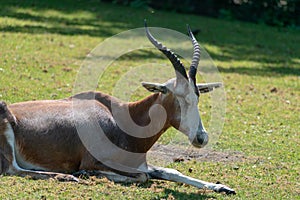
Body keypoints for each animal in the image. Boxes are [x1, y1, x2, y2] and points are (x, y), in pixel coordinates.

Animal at [0, 22, 234, 195]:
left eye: (197, 96)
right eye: (176, 95)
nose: (201, 137)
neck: (120, 120)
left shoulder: (141, 163)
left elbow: (170, 170)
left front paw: (222, 187)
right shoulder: (97, 161)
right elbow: (142, 176)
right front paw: (87, 173)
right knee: (13, 169)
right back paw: (69, 176)